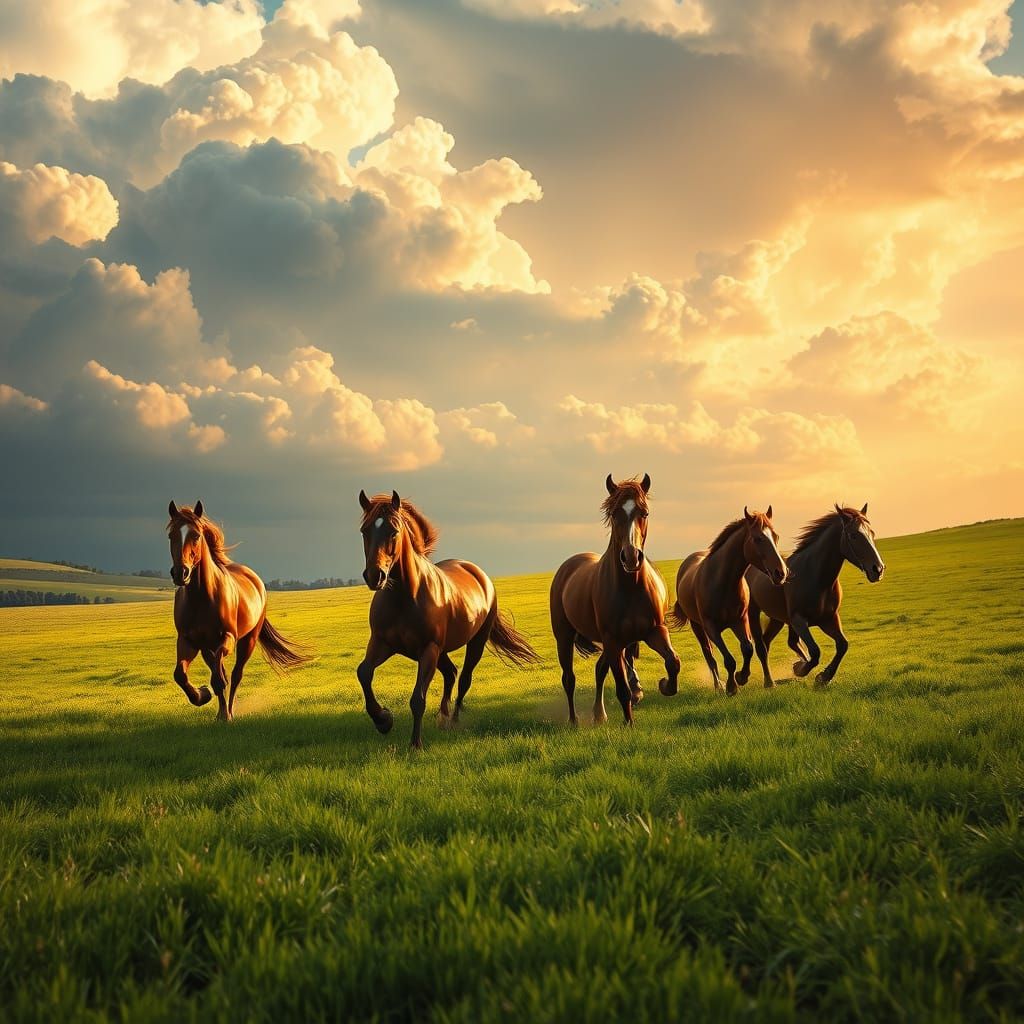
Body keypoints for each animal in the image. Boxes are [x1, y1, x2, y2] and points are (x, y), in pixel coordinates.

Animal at [167, 500, 311, 721]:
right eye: (171, 535)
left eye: (196, 535)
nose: (181, 573)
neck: (202, 597)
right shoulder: (188, 641)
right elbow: (181, 675)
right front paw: (202, 695)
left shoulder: (228, 637)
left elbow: (221, 678)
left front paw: (223, 712)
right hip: (207, 647)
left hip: (248, 640)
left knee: (236, 675)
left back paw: (230, 711)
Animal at [355, 490, 540, 750]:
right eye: (365, 531)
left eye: (394, 531)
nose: (375, 576)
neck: (405, 596)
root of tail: (479, 574)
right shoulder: (383, 643)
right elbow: (364, 673)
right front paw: (383, 720)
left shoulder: (428, 649)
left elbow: (417, 699)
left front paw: (415, 744)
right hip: (441, 651)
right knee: (451, 673)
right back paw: (442, 717)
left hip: (473, 643)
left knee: (463, 679)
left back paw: (452, 720)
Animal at [550, 473, 681, 727]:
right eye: (613, 513)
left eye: (644, 512)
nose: (631, 557)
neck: (631, 588)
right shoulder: (612, 640)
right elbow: (622, 688)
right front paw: (629, 723)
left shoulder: (655, 631)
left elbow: (673, 661)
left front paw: (665, 685)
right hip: (565, 637)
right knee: (569, 678)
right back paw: (574, 720)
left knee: (600, 669)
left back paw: (599, 714)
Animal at [672, 507, 787, 696]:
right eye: (758, 538)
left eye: (776, 536)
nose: (781, 573)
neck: (723, 583)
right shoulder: (711, 628)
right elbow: (728, 659)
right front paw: (731, 687)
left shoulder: (740, 621)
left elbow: (748, 648)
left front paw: (742, 677)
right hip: (698, 627)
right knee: (709, 655)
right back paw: (718, 684)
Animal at [746, 503, 885, 687]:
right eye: (853, 535)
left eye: (872, 533)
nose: (878, 569)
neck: (816, 577)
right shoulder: (799, 620)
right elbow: (815, 651)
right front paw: (801, 669)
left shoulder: (828, 619)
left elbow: (843, 645)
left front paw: (824, 676)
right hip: (755, 614)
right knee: (762, 646)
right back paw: (768, 681)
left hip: (777, 619)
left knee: (770, 641)